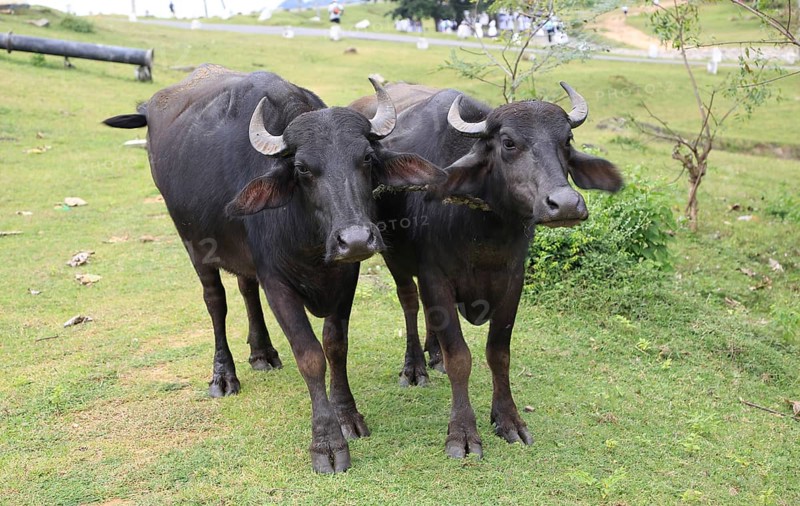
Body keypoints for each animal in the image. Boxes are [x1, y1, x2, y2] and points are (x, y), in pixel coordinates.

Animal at [104, 64, 443, 473]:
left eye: (365, 158)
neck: (307, 238)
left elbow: (335, 346)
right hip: (193, 245)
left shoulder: (346, 277)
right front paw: (327, 444)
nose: (356, 240)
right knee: (216, 302)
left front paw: (348, 416)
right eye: (302, 169)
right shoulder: (277, 283)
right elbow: (309, 355)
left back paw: (262, 352)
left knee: (246, 290)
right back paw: (223, 376)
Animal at [350, 83, 623, 459]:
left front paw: (508, 419)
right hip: (396, 258)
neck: (483, 228)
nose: (566, 205)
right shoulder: (436, 278)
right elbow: (460, 357)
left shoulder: (513, 281)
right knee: (409, 302)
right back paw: (415, 366)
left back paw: (433, 353)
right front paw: (463, 432)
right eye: (508, 142)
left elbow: (499, 353)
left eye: (566, 140)